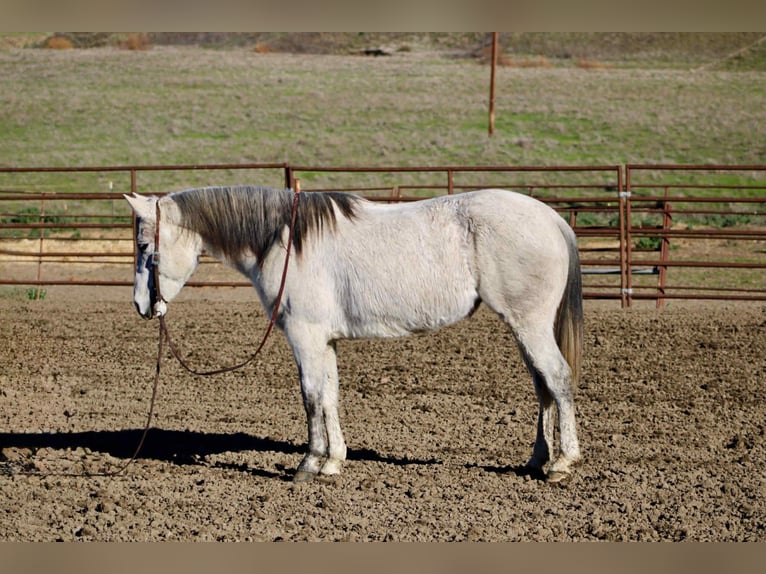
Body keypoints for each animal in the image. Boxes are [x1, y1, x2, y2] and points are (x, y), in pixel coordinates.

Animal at [124, 185, 583, 483]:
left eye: (144, 246)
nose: (142, 306)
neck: (286, 243)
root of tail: (551, 218)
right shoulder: (323, 340)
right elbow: (330, 396)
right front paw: (333, 462)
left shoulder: (305, 336)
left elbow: (311, 396)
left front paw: (309, 464)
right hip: (524, 329)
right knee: (542, 385)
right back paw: (538, 459)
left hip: (530, 324)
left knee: (558, 380)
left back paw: (563, 464)